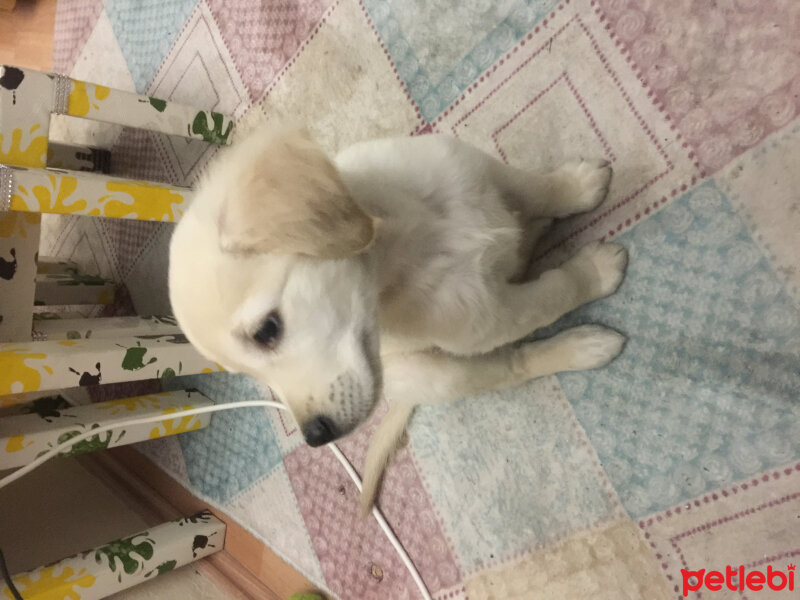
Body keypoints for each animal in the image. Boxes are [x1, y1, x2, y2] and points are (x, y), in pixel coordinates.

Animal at [170, 126, 632, 510]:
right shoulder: (491, 316)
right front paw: (594, 272)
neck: (411, 239)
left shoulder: (479, 169)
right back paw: (583, 344)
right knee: (514, 364)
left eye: (267, 330)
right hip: (439, 372)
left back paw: (531, 232)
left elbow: (536, 188)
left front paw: (578, 186)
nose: (317, 437)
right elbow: (555, 292)